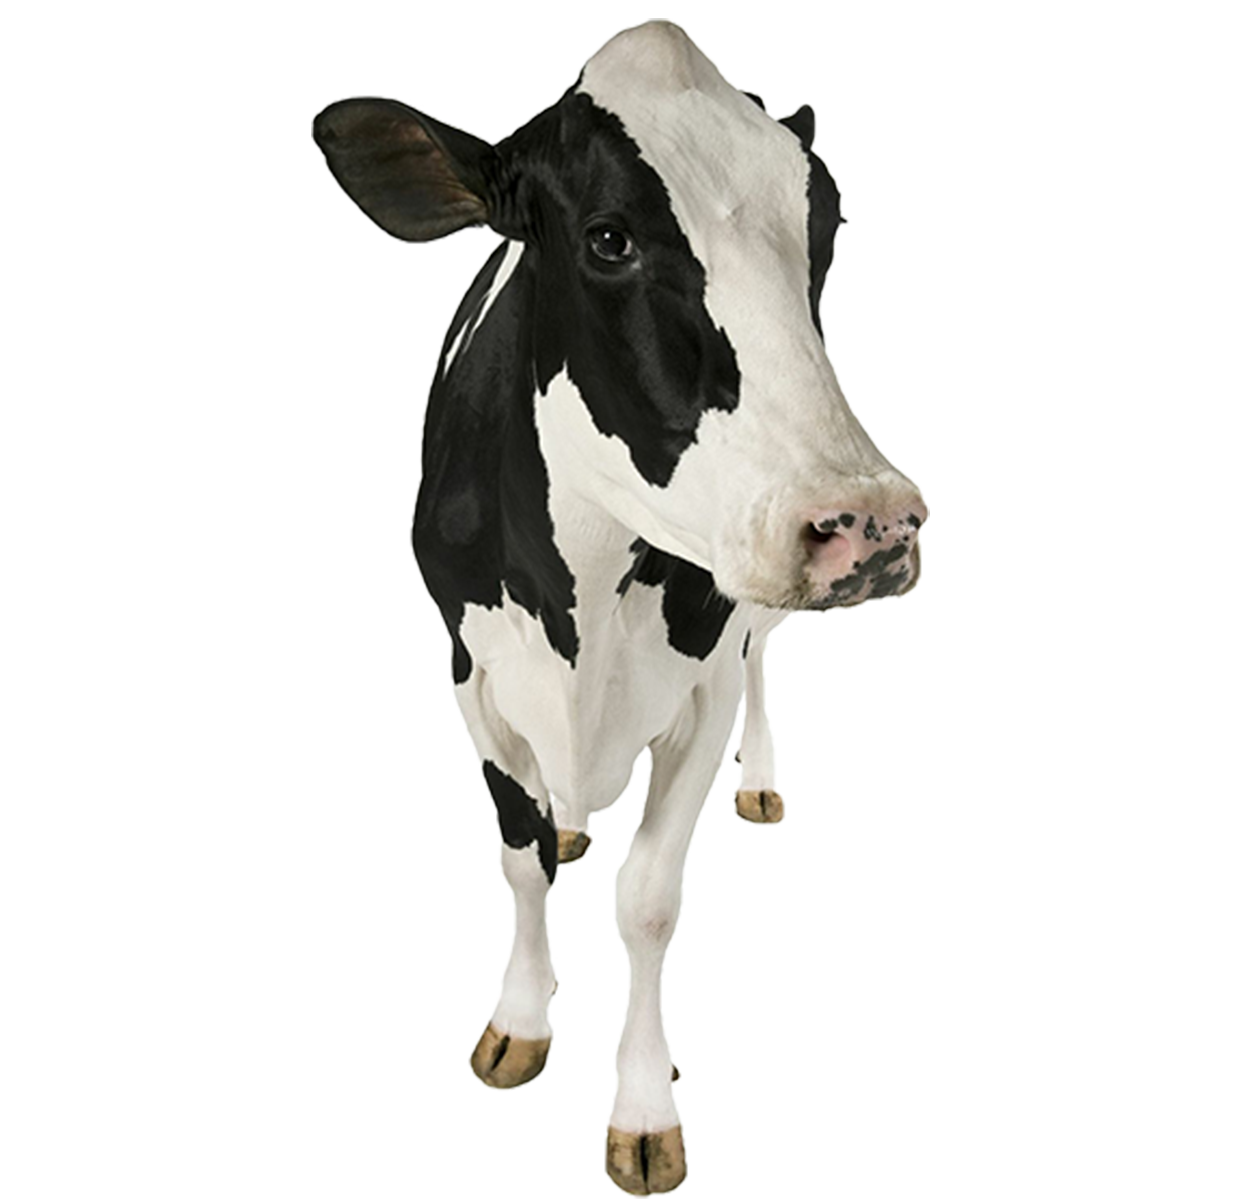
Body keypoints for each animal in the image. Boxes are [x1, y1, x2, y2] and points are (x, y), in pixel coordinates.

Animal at [313, 20, 927, 1196]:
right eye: (607, 239)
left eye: (824, 224)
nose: (869, 523)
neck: (583, 598)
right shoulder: (472, 674)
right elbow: (519, 859)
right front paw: (519, 1022)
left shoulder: (701, 684)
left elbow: (648, 899)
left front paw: (643, 1109)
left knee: (765, 664)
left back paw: (763, 780)